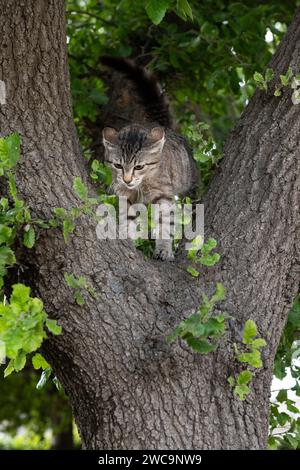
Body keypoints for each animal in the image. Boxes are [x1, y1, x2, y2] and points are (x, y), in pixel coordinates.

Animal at [101, 57, 199, 260]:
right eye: (118, 166)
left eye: (139, 167)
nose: (127, 179)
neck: (141, 185)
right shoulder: (126, 196)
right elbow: (128, 218)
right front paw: (127, 237)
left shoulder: (163, 196)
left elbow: (165, 224)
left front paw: (164, 249)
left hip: (189, 183)